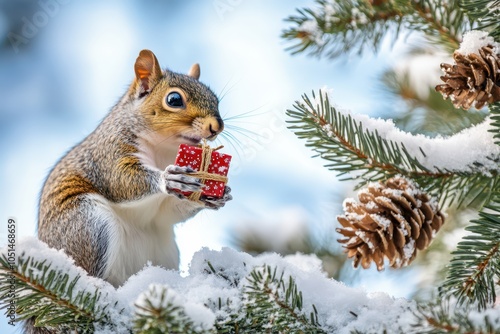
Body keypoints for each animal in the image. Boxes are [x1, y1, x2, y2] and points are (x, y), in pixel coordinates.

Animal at [37, 49, 232, 290]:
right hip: (87, 224)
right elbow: (121, 180)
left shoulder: (162, 213)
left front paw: (217, 195)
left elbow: (167, 213)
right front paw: (169, 178)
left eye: (215, 99)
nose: (217, 126)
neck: (163, 148)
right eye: (174, 99)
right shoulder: (109, 152)